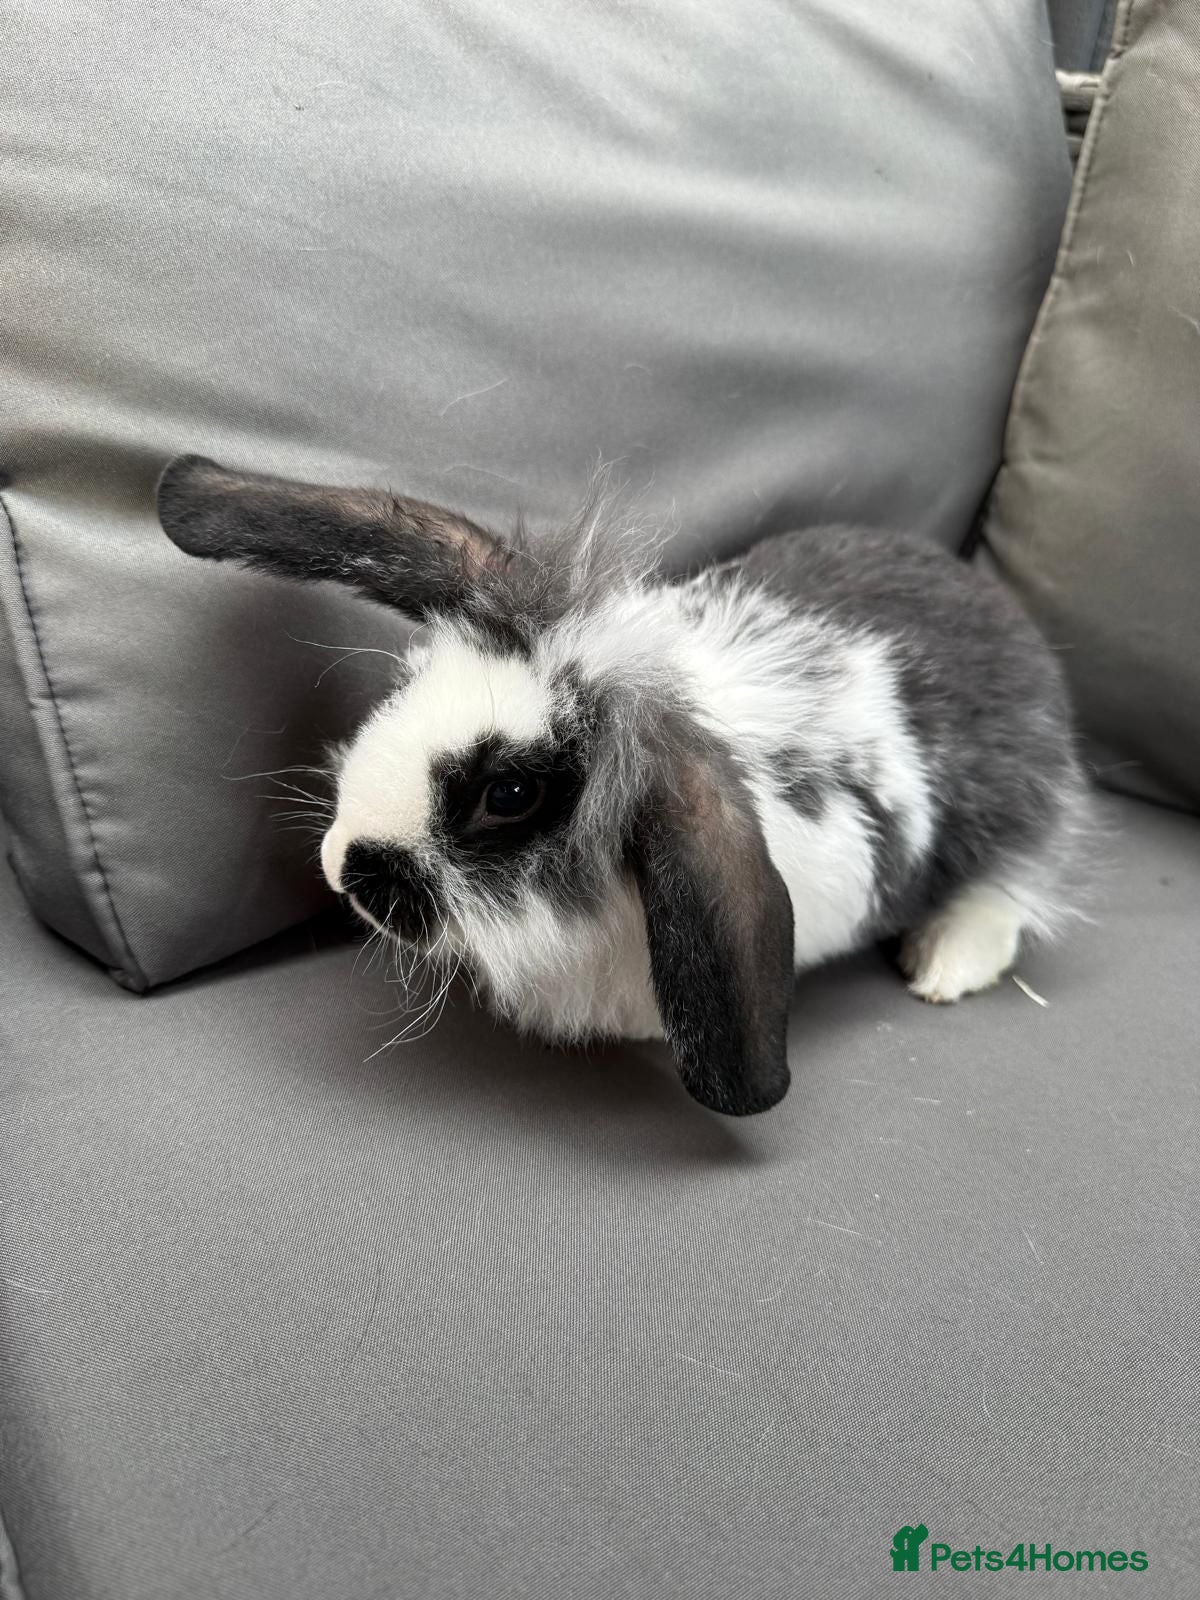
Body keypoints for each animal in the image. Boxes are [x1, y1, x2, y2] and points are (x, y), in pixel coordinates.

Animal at [157, 455, 1091, 1117]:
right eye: (410, 680)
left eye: (509, 796)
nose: (345, 868)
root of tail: (1010, 618)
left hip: (1015, 805)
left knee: (1014, 878)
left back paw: (946, 964)